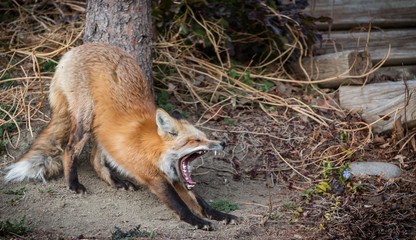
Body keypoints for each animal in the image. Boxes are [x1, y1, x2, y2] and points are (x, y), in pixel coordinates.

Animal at [3, 43, 236, 231]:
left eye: (204, 137)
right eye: (195, 141)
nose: (223, 143)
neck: (154, 150)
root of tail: (74, 50)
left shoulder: (176, 176)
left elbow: (200, 202)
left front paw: (219, 215)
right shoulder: (154, 177)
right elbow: (180, 206)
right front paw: (198, 222)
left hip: (100, 129)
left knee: (95, 160)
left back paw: (116, 182)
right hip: (85, 121)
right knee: (70, 149)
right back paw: (73, 184)